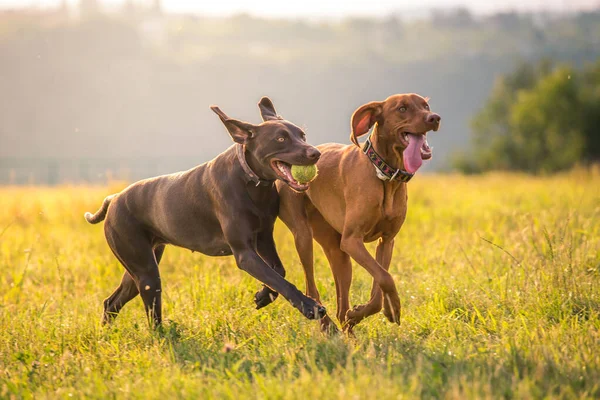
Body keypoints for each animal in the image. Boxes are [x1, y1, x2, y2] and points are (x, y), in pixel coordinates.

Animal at [276, 94, 440, 332]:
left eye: (425, 105)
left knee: (341, 308)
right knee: (311, 290)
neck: (383, 174)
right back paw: (327, 327)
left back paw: (347, 328)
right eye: (402, 108)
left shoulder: (386, 241)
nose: (434, 118)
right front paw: (390, 307)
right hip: (304, 236)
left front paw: (380, 310)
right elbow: (385, 278)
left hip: (338, 253)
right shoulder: (352, 240)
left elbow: (380, 283)